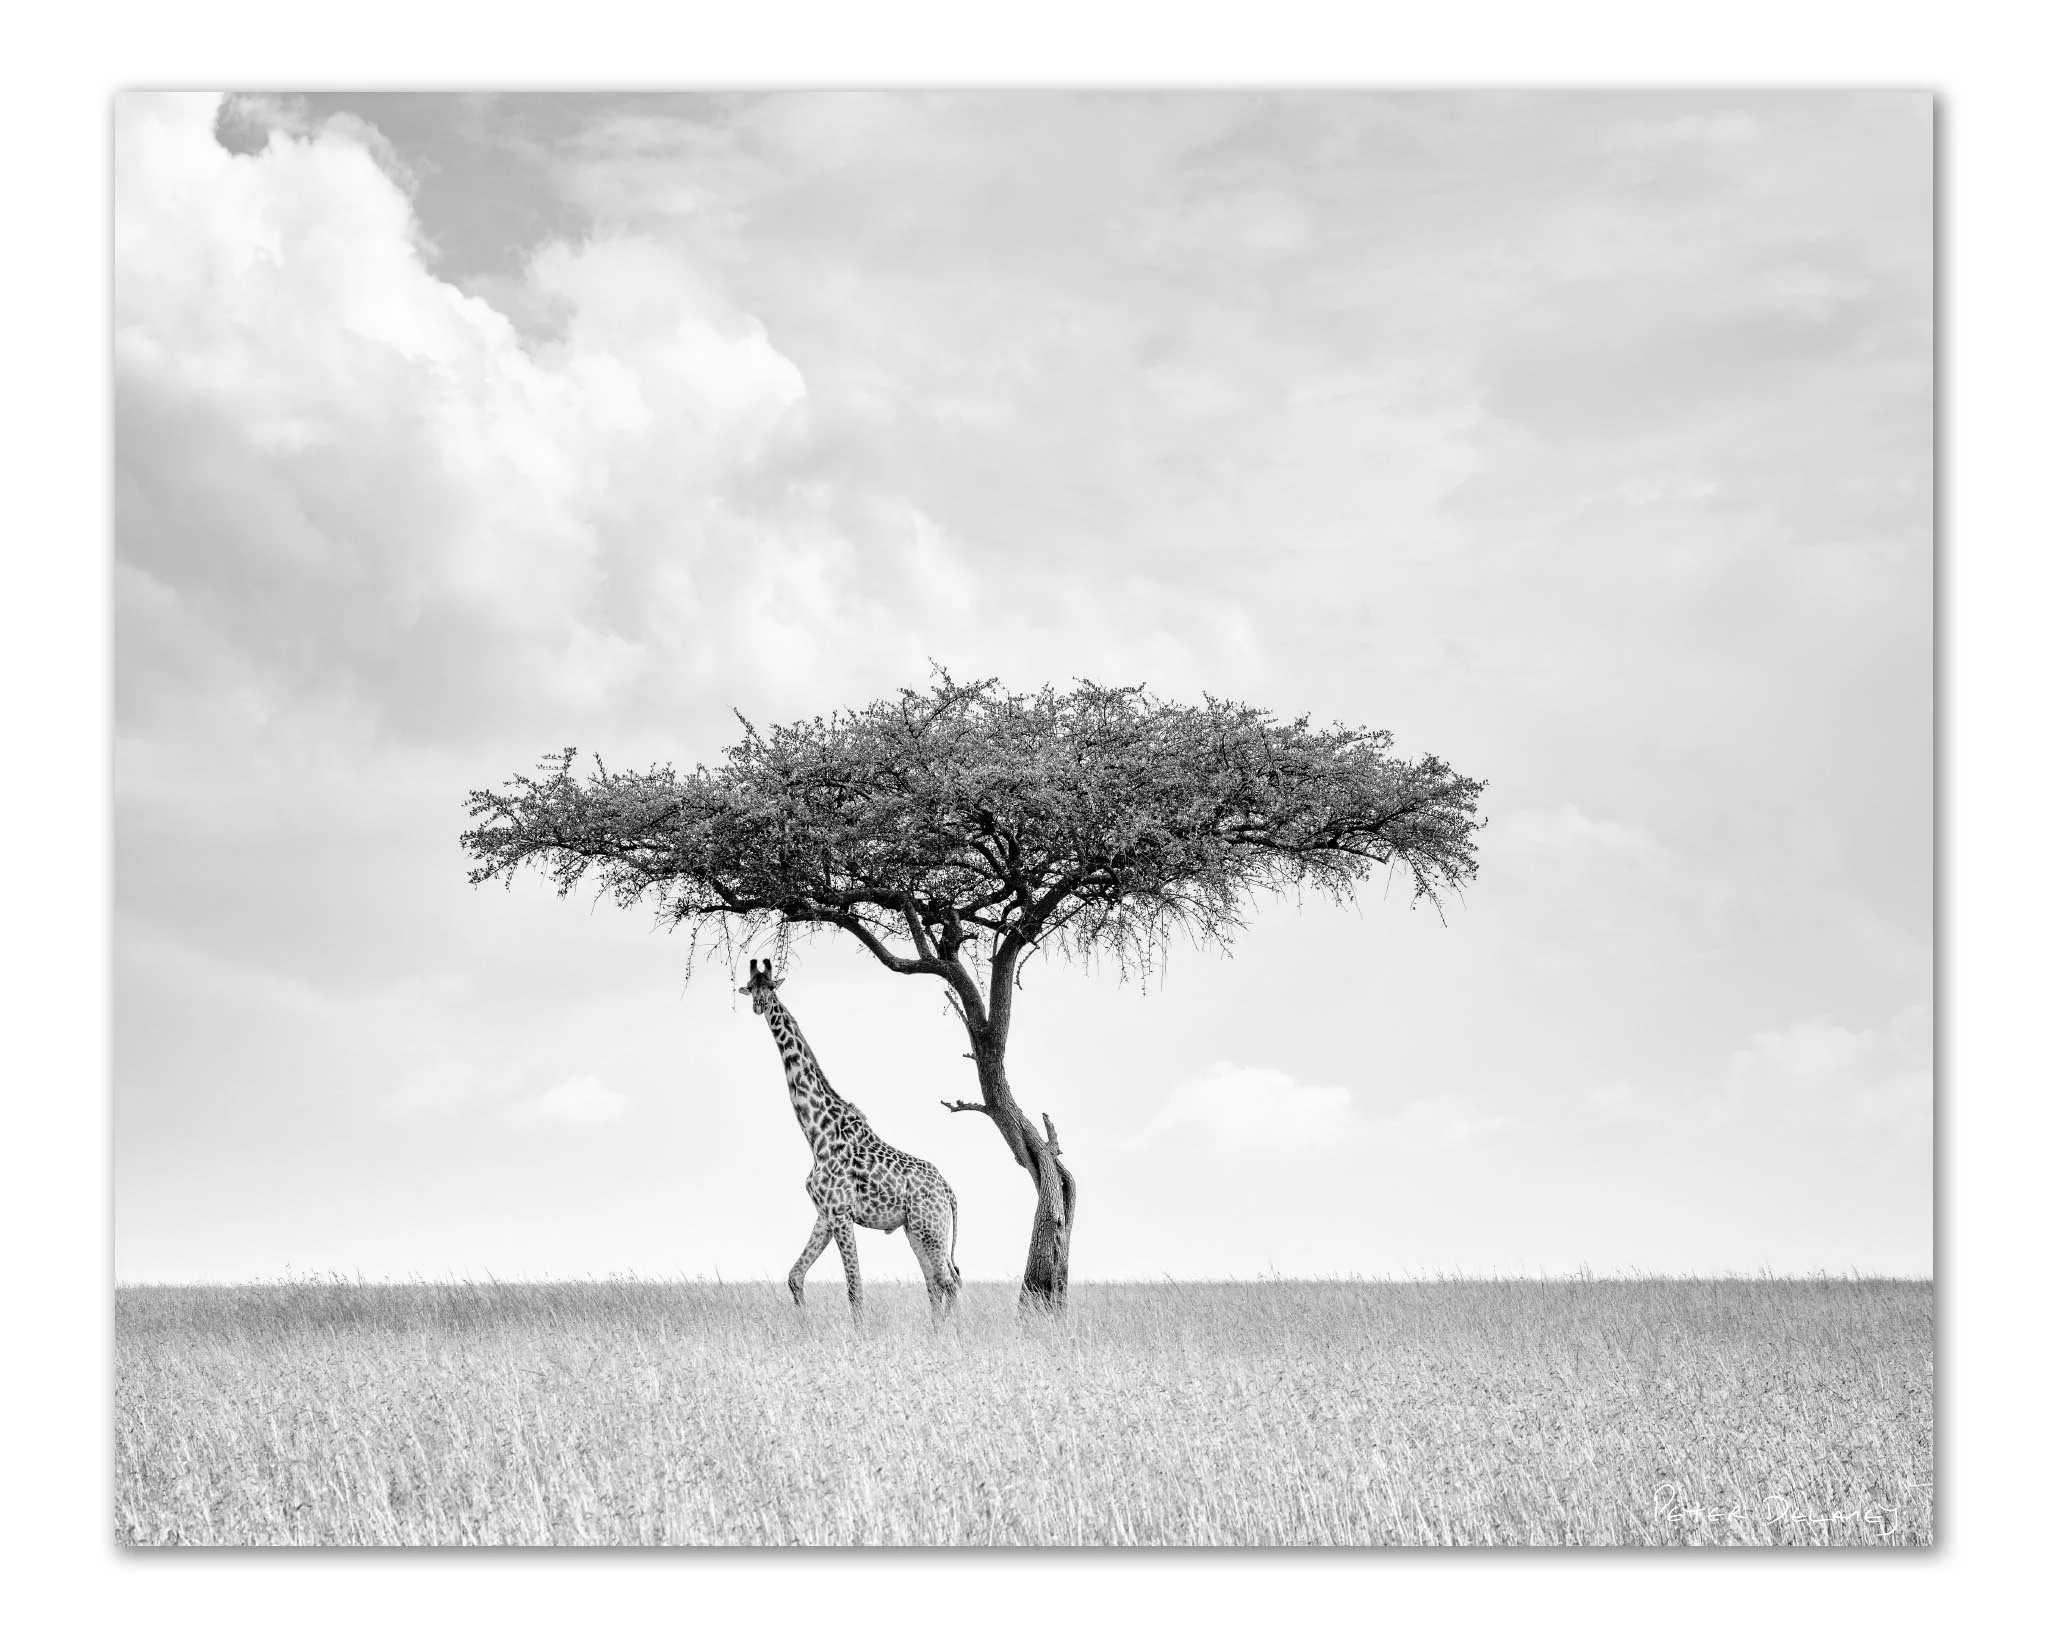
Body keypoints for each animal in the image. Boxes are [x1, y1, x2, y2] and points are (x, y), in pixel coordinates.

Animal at [739, 958, 962, 1318]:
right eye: (750, 986)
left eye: (770, 987)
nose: (759, 1005)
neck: (817, 1134)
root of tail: (949, 1191)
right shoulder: (824, 1213)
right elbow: (795, 1276)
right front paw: (803, 1326)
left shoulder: (841, 1212)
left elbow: (854, 1288)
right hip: (916, 1229)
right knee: (936, 1283)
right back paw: (936, 1328)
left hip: (931, 1227)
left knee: (949, 1282)